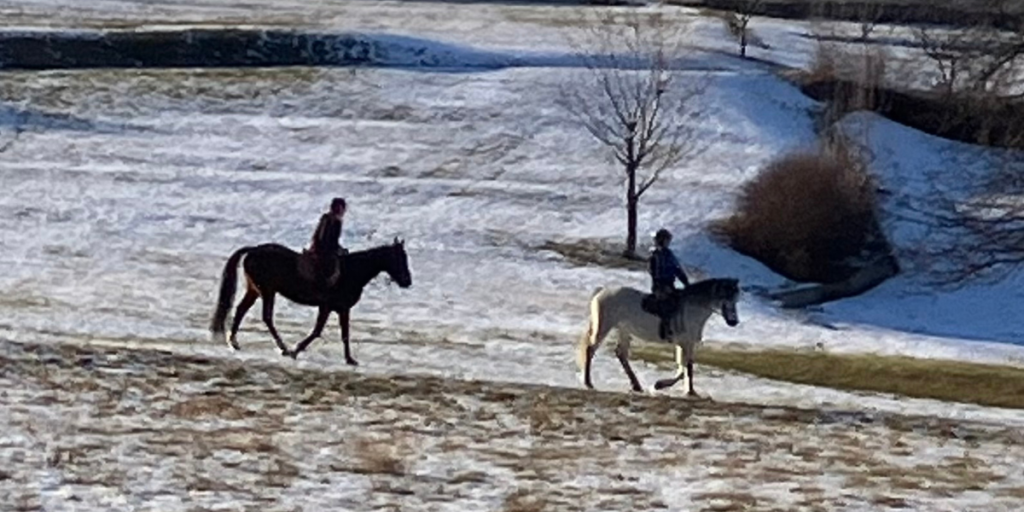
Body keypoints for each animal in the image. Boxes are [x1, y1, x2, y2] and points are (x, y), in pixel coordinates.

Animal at [209, 237, 412, 363]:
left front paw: (349, 360)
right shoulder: (328, 307)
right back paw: (283, 348)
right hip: (267, 291)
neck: (351, 272)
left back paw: (234, 342)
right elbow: (317, 331)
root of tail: (254, 249)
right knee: (267, 317)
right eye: (400, 258)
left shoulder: (342, 309)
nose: (407, 281)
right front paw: (296, 350)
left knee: (241, 310)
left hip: (255, 290)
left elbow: (344, 334)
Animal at [576, 277, 740, 397]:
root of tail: (602, 291)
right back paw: (588, 383)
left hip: (624, 331)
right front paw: (666, 387)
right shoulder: (686, 343)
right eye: (725, 298)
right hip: (604, 327)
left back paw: (636, 386)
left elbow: (683, 368)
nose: (734, 322)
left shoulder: (684, 344)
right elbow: (687, 368)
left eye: (736, 300)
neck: (692, 309)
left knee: (621, 354)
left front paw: (684, 390)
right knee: (590, 350)